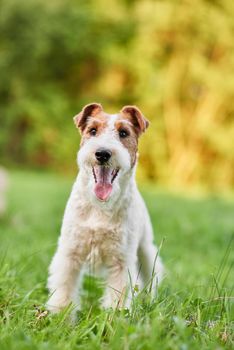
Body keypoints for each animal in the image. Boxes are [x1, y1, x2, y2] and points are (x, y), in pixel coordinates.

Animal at [46, 102, 164, 312]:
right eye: (93, 130)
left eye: (124, 133)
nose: (102, 153)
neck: (99, 206)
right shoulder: (70, 252)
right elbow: (64, 290)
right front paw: (60, 316)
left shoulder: (121, 260)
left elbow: (117, 297)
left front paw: (114, 318)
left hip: (145, 250)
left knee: (152, 276)